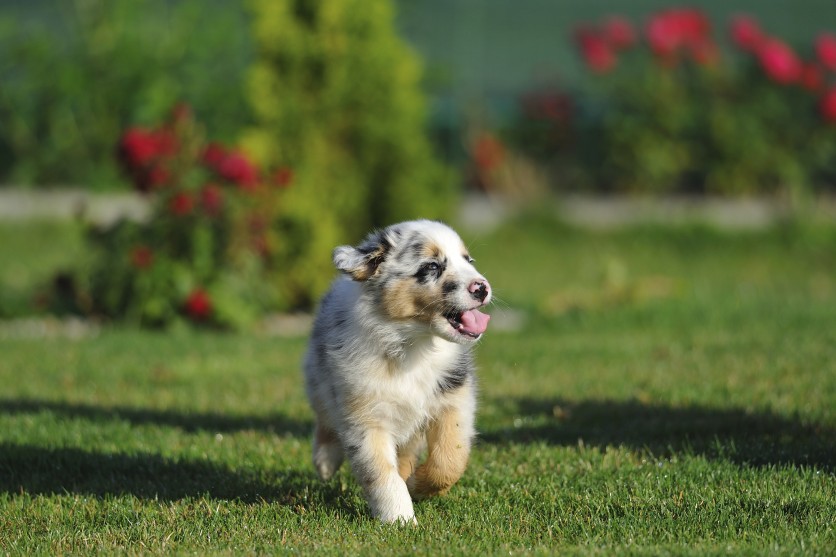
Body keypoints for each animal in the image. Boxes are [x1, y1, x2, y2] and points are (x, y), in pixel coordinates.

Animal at [306, 219, 490, 524]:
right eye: (432, 266)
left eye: (468, 260)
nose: (483, 288)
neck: (412, 344)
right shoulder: (365, 416)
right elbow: (381, 473)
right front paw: (400, 520)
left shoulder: (454, 400)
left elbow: (450, 458)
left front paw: (416, 485)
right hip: (317, 381)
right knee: (325, 421)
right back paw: (325, 462)